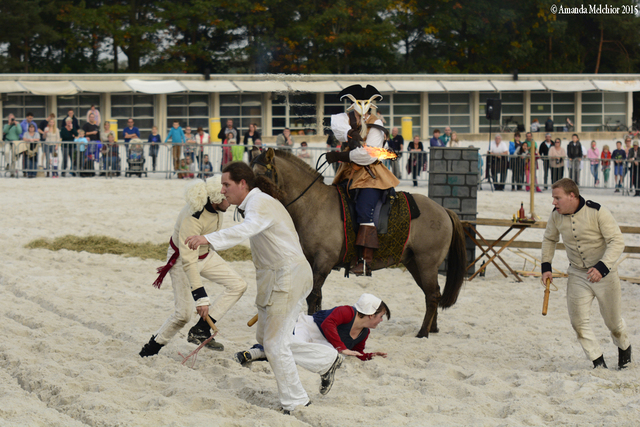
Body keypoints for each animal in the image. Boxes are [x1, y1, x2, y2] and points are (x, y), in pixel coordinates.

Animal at [250, 149, 464, 340]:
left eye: (262, 174)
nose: (250, 207)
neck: (313, 204)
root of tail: (444, 210)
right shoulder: (313, 262)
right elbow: (317, 297)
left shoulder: (323, 262)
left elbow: (313, 296)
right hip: (414, 263)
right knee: (432, 293)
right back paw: (432, 328)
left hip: (426, 263)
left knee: (432, 295)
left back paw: (423, 332)